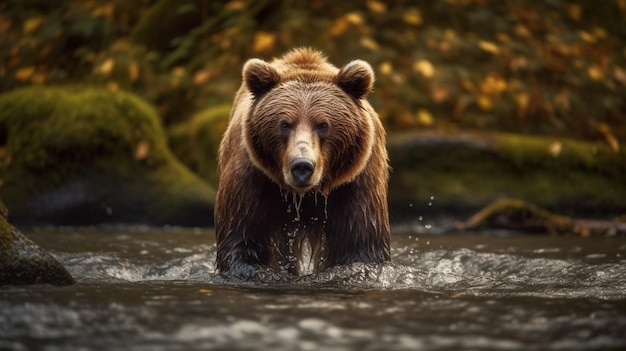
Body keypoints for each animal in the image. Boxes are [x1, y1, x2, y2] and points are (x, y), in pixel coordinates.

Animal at [216, 48, 390, 280]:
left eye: (323, 124)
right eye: (284, 124)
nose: (302, 166)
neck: (307, 195)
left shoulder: (356, 182)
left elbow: (360, 245)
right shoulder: (251, 176)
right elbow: (243, 239)